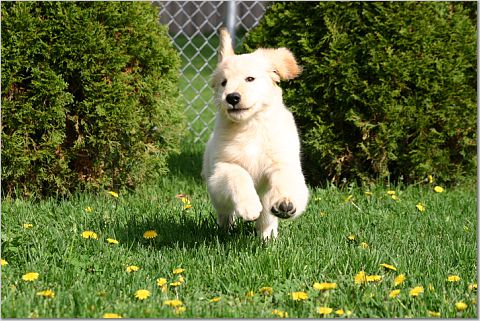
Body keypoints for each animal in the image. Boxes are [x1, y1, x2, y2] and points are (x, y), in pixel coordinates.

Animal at [202, 28, 308, 238]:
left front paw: (285, 203)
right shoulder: (222, 168)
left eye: (250, 79)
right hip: (217, 196)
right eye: (223, 83)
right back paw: (226, 229)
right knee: (225, 213)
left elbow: (286, 180)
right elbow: (238, 176)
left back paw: (268, 237)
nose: (232, 97)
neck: (250, 126)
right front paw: (249, 206)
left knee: (266, 219)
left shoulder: (283, 162)